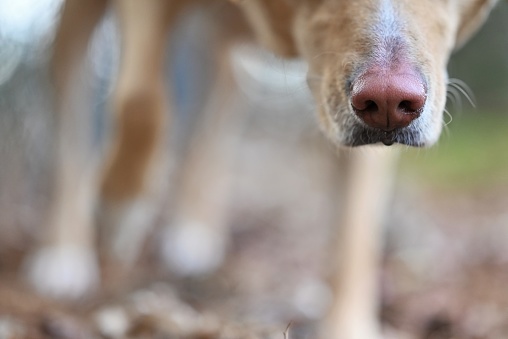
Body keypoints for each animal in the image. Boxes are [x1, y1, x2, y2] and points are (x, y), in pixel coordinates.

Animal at [23, 0, 496, 339]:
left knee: (222, 93)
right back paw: (65, 253)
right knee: (71, 121)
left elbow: (355, 229)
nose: (388, 103)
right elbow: (139, 98)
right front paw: (121, 208)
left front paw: (346, 328)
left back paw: (193, 230)